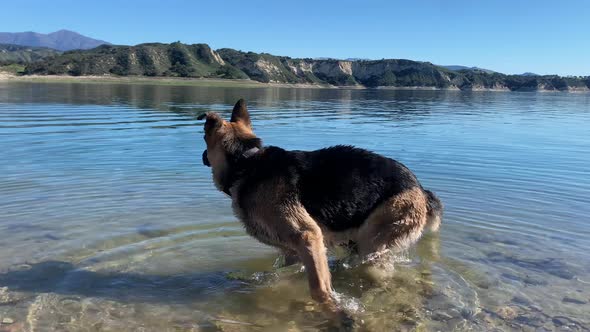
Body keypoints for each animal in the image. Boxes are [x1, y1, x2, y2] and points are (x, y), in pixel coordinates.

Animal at [199, 100, 444, 316]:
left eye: (203, 139)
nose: (202, 156)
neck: (246, 161)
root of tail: (421, 190)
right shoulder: (293, 251)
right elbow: (280, 274)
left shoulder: (308, 236)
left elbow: (319, 287)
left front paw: (332, 309)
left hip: (373, 240)